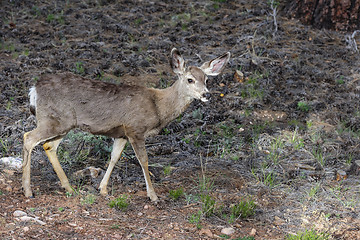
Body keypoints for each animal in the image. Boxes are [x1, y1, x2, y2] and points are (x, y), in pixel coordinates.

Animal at [22, 48, 231, 201]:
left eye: (206, 79)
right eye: (190, 79)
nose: (206, 94)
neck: (158, 106)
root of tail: (34, 88)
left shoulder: (121, 134)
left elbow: (114, 157)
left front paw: (102, 189)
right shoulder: (135, 128)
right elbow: (143, 160)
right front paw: (153, 196)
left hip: (63, 123)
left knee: (48, 146)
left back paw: (69, 188)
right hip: (55, 119)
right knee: (28, 137)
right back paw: (28, 190)